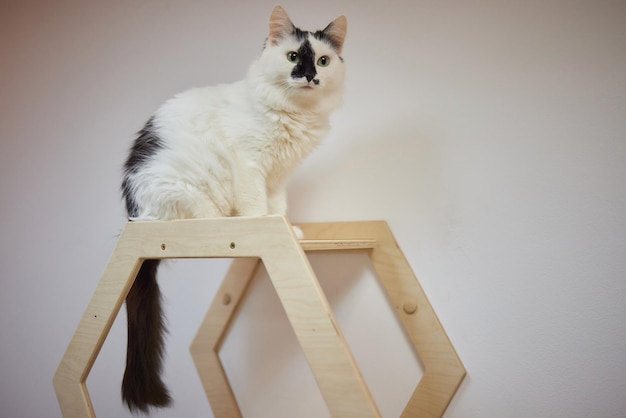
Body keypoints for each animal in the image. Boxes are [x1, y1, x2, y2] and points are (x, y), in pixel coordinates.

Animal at [119, 4, 348, 414]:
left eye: (322, 60)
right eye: (293, 57)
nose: (310, 75)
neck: (294, 113)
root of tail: (132, 213)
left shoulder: (278, 176)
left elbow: (279, 206)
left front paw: (285, 227)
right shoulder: (251, 163)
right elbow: (257, 204)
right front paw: (260, 224)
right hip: (184, 190)